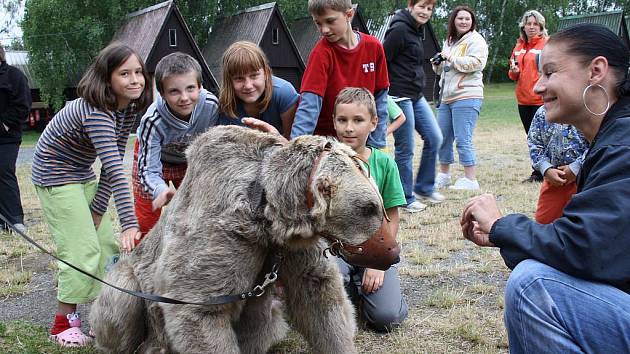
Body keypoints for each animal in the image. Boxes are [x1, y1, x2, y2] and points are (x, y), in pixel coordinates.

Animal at [88, 126, 386, 352]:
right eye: (370, 207)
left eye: (377, 204)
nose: (391, 252)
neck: (268, 213)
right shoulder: (225, 234)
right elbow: (199, 308)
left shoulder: (290, 247)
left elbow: (318, 294)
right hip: (131, 282)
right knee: (120, 302)